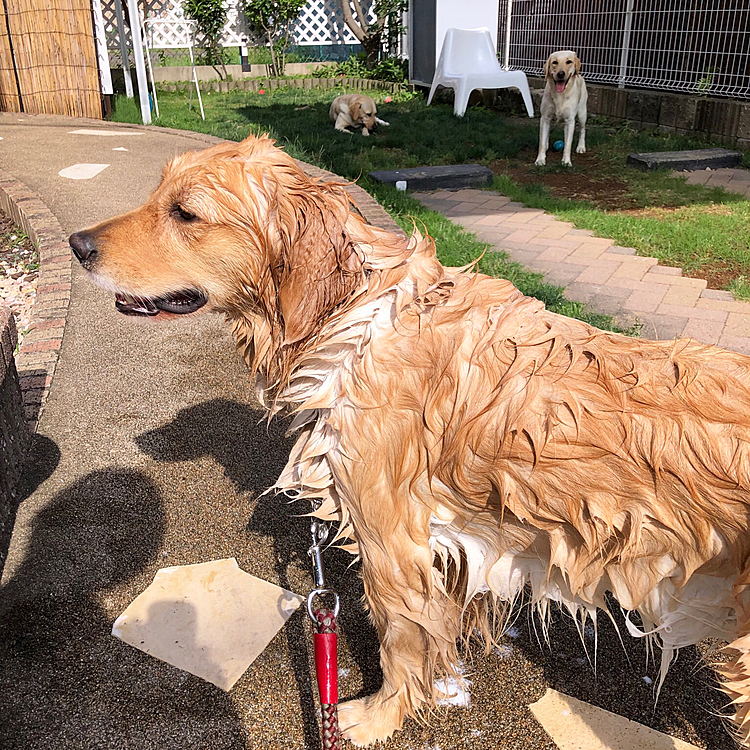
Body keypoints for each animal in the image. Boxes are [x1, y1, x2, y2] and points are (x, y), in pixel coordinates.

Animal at [73, 138, 750, 748]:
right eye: (158, 193)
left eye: (185, 213)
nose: (78, 245)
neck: (350, 313)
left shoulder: (390, 539)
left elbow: (401, 640)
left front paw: (379, 717)